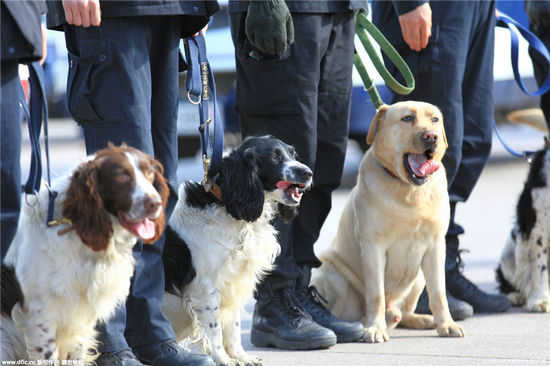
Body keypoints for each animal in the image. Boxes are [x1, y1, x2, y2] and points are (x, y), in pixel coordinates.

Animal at [162, 136, 312, 364]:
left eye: (293, 154)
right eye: (275, 157)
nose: (308, 173)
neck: (227, 208)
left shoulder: (235, 282)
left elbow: (232, 327)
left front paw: (241, 357)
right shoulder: (205, 289)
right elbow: (214, 330)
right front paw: (223, 360)